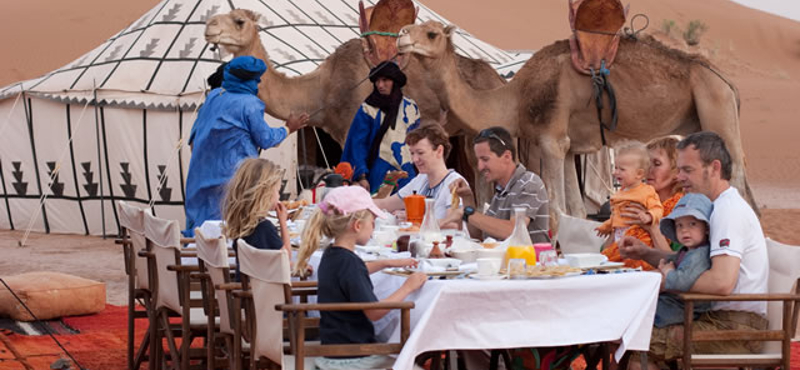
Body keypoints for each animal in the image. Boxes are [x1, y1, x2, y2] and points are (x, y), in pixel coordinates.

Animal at [400, 22, 756, 228]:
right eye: (411, 26)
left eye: (431, 33)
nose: (402, 36)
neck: (516, 96)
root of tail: (729, 84)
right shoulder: (571, 146)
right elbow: (576, 211)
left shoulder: (550, 138)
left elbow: (556, 210)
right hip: (702, 118)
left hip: (716, 105)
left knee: (739, 187)